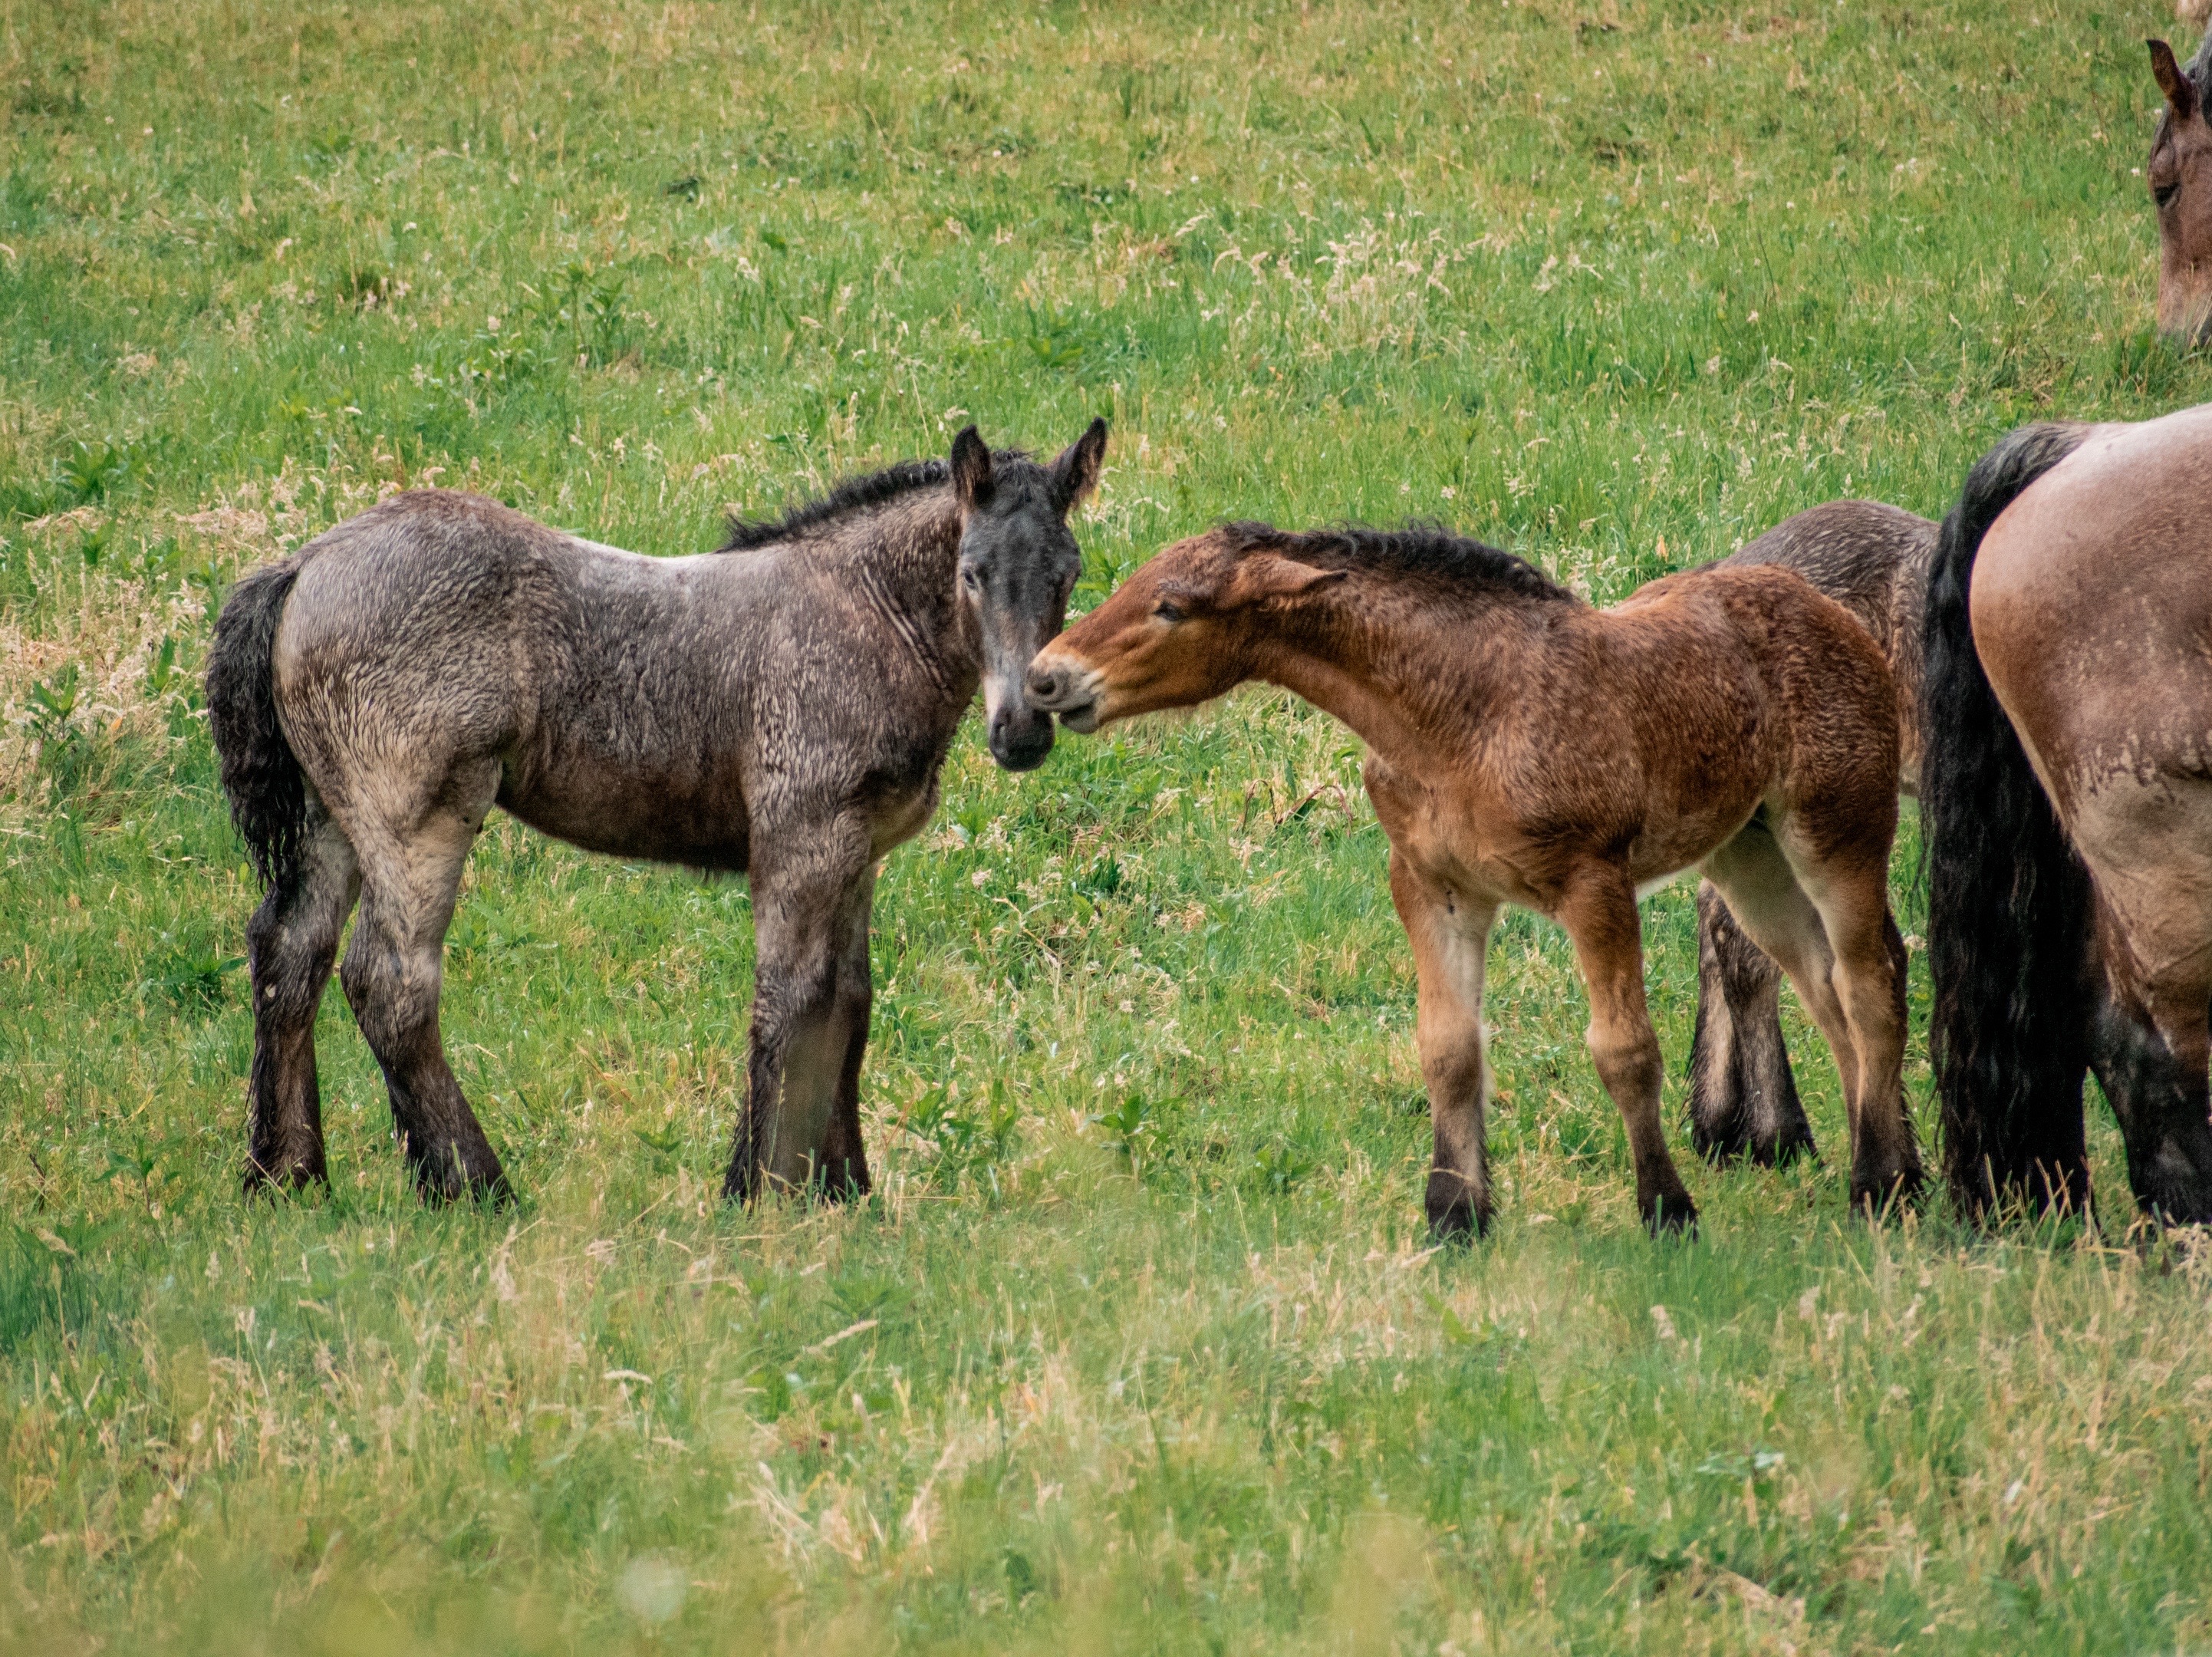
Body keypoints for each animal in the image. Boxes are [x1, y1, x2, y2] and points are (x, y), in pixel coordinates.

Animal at [205, 421, 1106, 1205]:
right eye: (971, 572)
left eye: (1068, 572)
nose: (1025, 729)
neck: (861, 616)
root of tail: (304, 564)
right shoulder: (801, 841)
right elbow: (789, 1001)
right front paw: (757, 1191)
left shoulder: (858, 853)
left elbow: (850, 1003)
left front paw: (847, 1190)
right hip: (419, 819)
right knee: (389, 981)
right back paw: (475, 1188)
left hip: (331, 818)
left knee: (290, 951)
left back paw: (286, 1177)